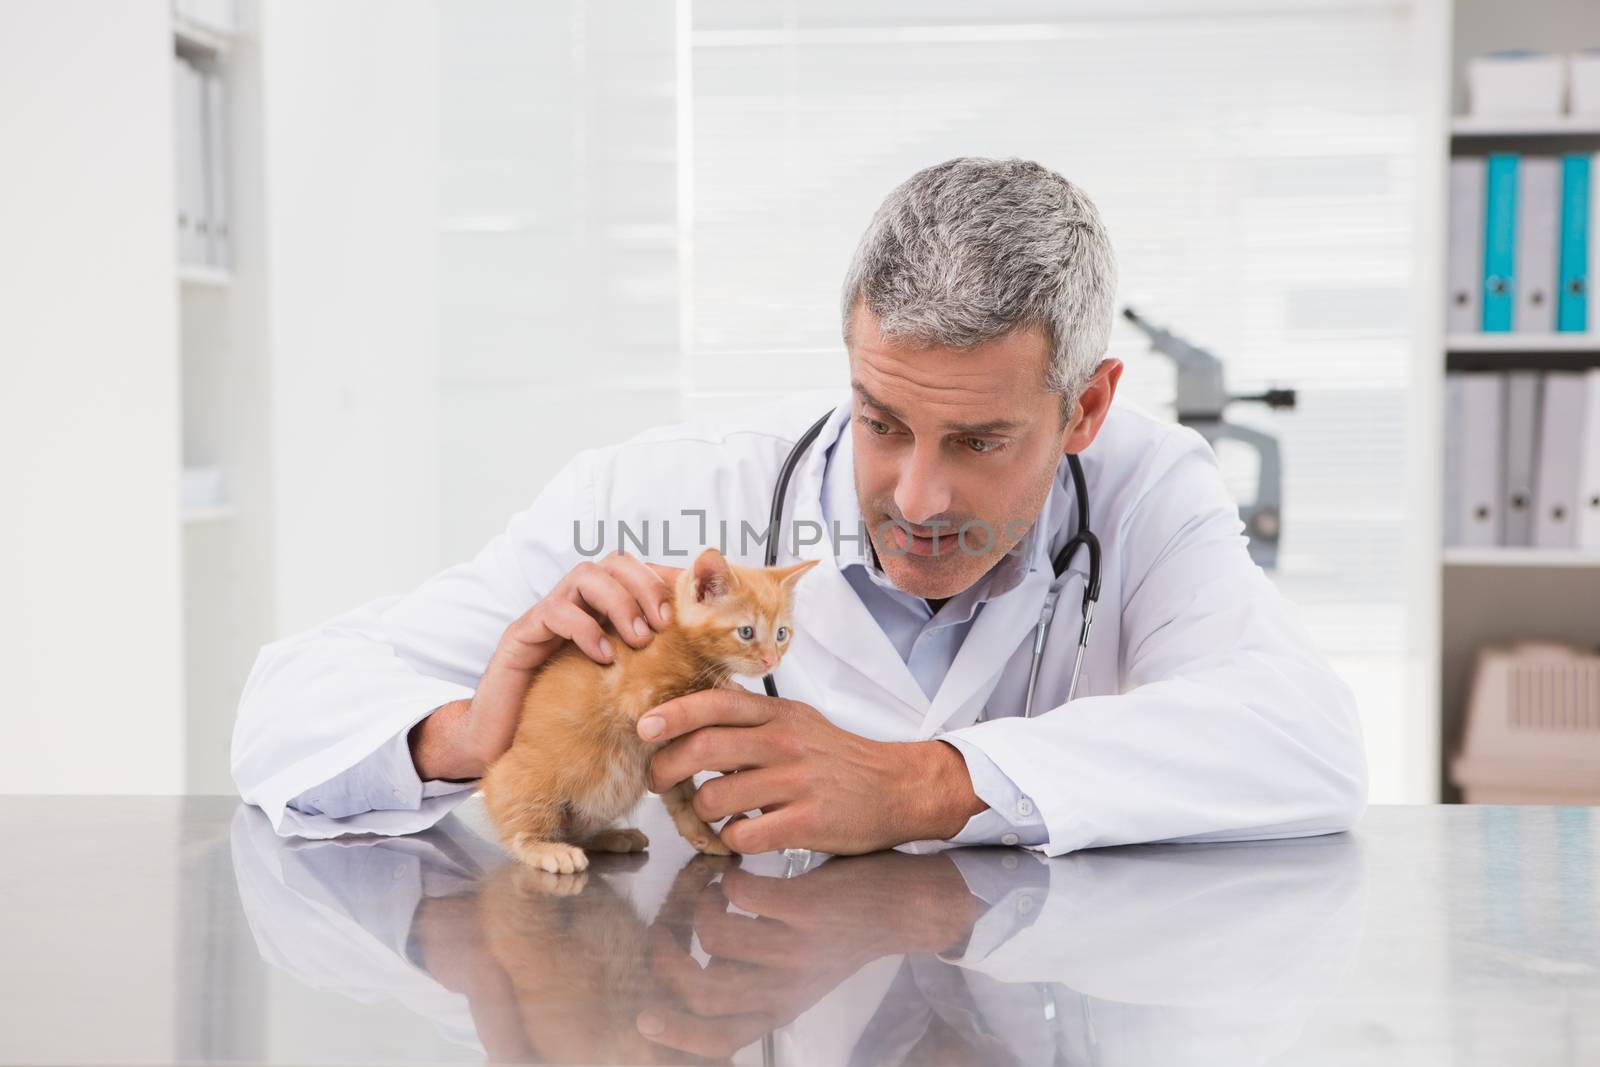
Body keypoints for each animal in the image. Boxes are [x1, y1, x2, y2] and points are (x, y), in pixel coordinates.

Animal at [483, 550, 812, 876]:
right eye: (746, 632)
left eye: (781, 634)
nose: (771, 660)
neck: (682, 643)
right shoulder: (638, 702)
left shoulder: (664, 754)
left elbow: (683, 800)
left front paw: (706, 838)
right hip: (531, 781)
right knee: (521, 832)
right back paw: (549, 849)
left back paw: (614, 836)